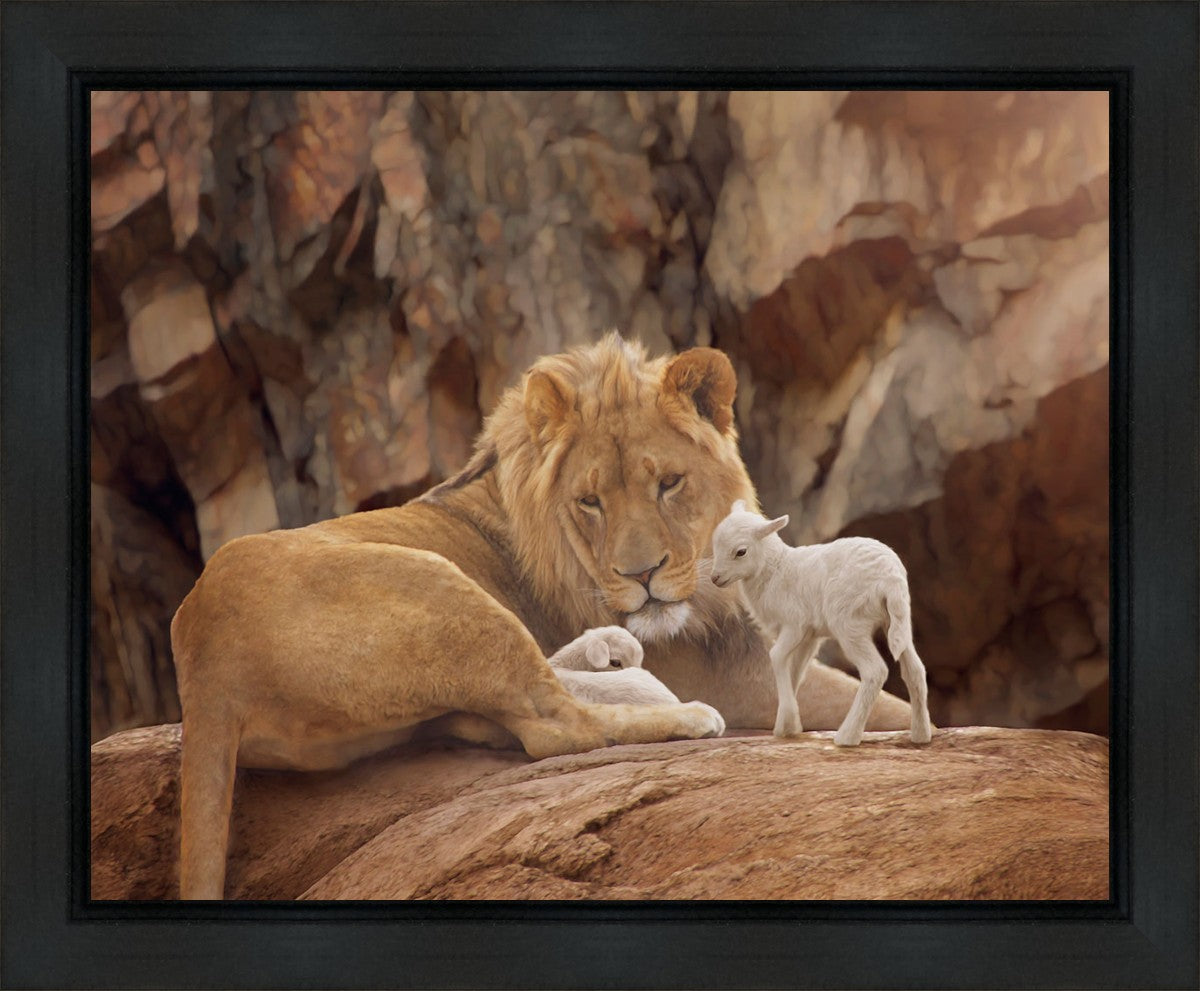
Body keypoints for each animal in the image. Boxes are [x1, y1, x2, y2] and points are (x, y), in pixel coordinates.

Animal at [710, 501, 932, 747]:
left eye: (741, 551)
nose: (715, 578)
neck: (775, 570)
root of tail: (890, 578)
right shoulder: (809, 636)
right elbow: (796, 671)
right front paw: (787, 726)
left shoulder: (795, 624)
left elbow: (776, 656)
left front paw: (788, 721)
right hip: (898, 621)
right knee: (915, 670)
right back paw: (921, 735)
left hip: (849, 623)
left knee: (875, 671)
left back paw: (847, 736)